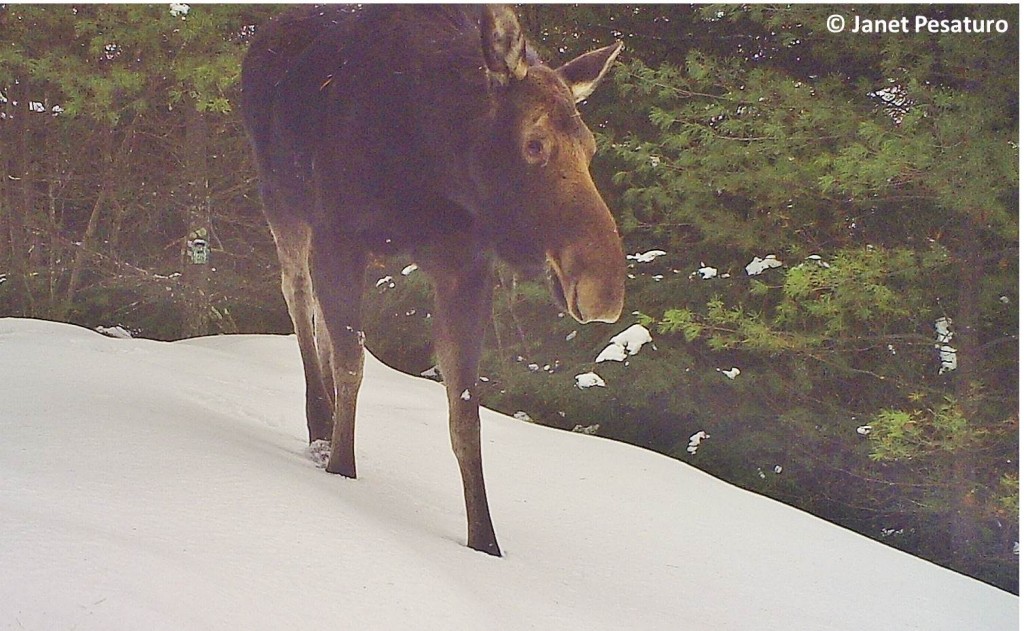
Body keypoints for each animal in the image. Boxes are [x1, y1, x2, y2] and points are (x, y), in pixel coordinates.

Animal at [240, 6, 626, 557]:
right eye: (534, 144)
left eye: (591, 148)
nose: (603, 289)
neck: (434, 165)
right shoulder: (339, 234)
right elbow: (352, 363)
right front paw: (341, 468)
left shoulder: (464, 267)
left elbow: (465, 412)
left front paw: (484, 541)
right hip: (283, 204)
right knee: (297, 298)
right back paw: (319, 423)